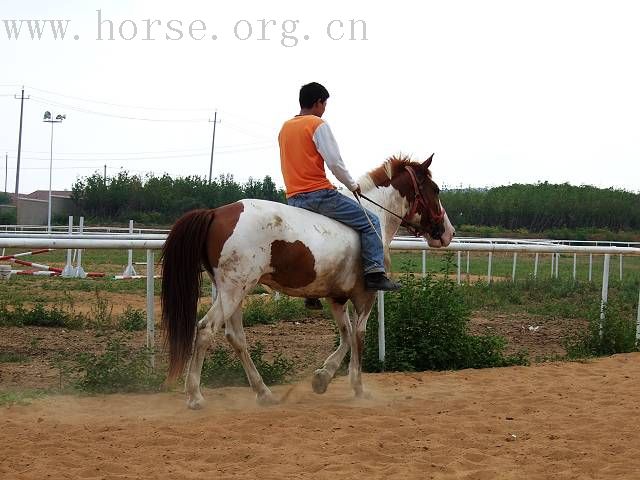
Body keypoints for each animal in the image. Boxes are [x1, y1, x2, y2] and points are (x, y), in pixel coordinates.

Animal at [160, 154, 456, 408]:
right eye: (435, 189)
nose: (448, 232)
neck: (374, 215)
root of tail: (216, 213)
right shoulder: (365, 295)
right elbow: (358, 336)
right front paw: (358, 387)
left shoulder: (337, 298)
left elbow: (346, 336)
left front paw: (323, 378)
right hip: (234, 290)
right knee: (206, 329)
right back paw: (195, 396)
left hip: (233, 293)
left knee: (236, 337)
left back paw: (263, 392)